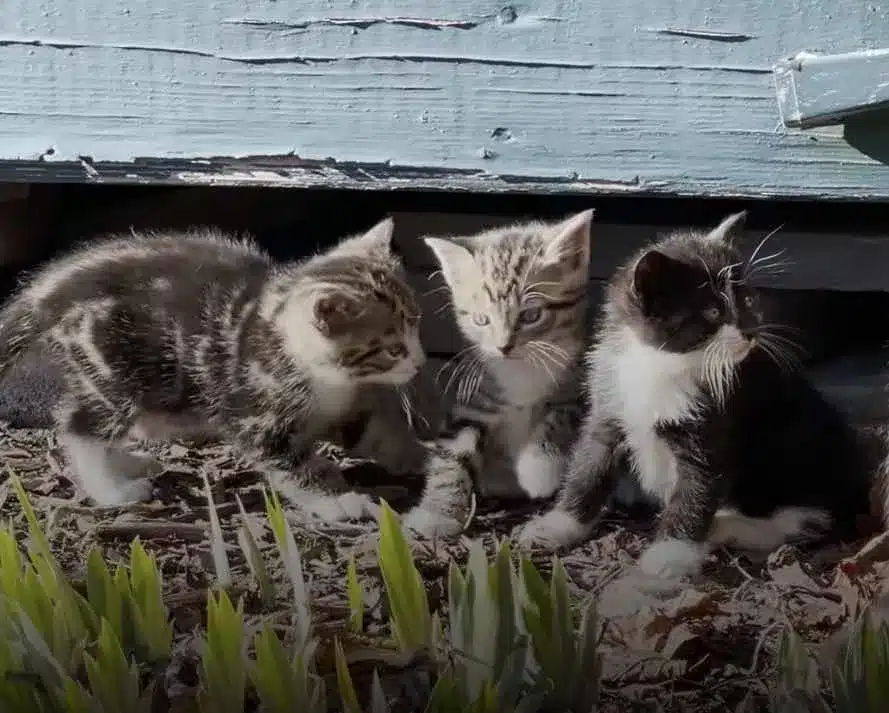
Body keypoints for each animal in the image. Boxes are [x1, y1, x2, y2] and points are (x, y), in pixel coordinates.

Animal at [0, 220, 426, 520]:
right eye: (393, 348)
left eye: (417, 324)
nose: (421, 362)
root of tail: (45, 293)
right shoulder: (256, 420)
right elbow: (295, 466)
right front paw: (338, 501)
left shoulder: (343, 408)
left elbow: (372, 433)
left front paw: (419, 455)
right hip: (111, 373)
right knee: (82, 430)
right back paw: (112, 490)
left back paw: (129, 463)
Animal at [402, 210, 596, 536]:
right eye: (482, 320)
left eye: (531, 315)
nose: (503, 346)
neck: (521, 371)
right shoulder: (473, 401)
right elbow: (452, 455)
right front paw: (436, 513)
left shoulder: (583, 382)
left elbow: (561, 413)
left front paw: (538, 467)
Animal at [516, 211, 872, 580]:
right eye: (713, 312)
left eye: (747, 301)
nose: (750, 332)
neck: (663, 363)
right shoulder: (610, 403)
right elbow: (589, 467)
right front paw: (558, 524)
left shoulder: (712, 426)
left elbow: (696, 489)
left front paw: (669, 556)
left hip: (799, 448)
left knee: (810, 515)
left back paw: (731, 527)